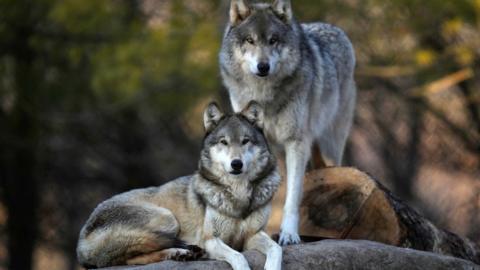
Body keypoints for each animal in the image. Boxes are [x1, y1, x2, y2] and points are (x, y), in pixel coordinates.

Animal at [77, 102, 284, 270]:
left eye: (245, 141)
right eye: (224, 142)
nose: (236, 164)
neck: (237, 194)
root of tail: (80, 244)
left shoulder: (252, 235)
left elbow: (276, 248)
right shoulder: (210, 239)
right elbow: (239, 257)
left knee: (132, 259)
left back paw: (181, 254)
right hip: (167, 218)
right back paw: (182, 252)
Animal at [220, 0, 356, 245]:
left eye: (273, 40)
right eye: (250, 40)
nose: (263, 66)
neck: (263, 96)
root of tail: (335, 28)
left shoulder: (296, 143)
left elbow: (292, 196)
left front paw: (289, 234)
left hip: (331, 143)